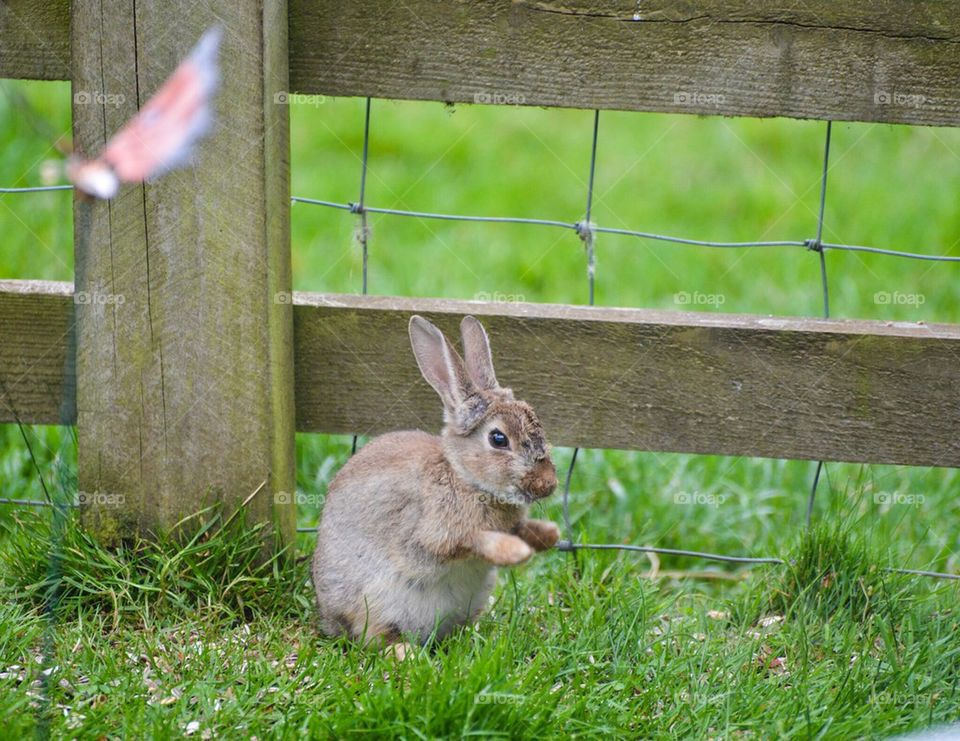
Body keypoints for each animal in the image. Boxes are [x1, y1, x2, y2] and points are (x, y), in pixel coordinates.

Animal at [312, 314, 560, 652]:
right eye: (498, 439)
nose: (548, 484)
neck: (465, 478)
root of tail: (330, 619)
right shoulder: (435, 532)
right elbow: (471, 540)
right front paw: (514, 552)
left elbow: (523, 529)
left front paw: (550, 535)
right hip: (376, 601)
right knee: (376, 637)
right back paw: (407, 652)